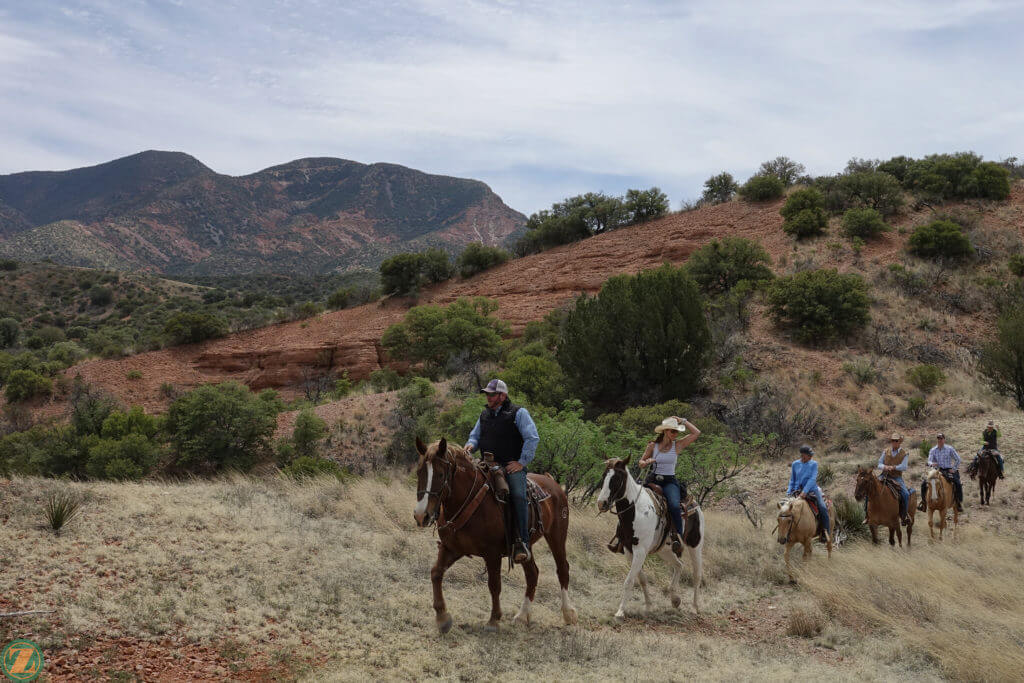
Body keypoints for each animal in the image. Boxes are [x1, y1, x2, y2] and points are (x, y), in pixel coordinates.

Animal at [413, 438, 577, 634]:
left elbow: (494, 585)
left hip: (557, 535)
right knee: (532, 573)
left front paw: (493, 620)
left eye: (439, 474)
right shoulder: (451, 548)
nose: (421, 515)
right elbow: (436, 573)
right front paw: (442, 617)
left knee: (562, 569)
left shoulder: (492, 554)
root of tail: (552, 483)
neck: (469, 499)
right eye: (419, 472)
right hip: (525, 546)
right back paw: (522, 616)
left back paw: (568, 614)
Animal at [593, 456, 704, 618]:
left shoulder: (640, 551)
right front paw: (649, 606)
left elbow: (629, 581)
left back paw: (695, 607)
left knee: (696, 574)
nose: (602, 503)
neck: (635, 511)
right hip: (665, 550)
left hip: (695, 545)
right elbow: (642, 579)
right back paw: (675, 599)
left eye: (617, 478)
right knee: (679, 565)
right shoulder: (629, 550)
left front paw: (620, 611)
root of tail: (694, 504)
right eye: (603, 476)